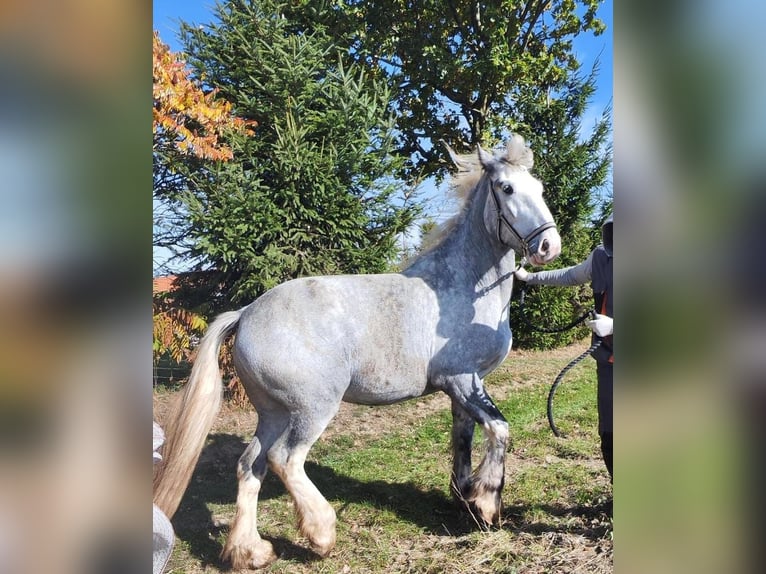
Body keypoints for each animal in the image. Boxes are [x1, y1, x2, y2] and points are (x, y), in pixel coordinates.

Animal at [153, 134, 562, 569]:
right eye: (507, 188)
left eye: (539, 188)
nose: (549, 246)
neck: (462, 287)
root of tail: (246, 313)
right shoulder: (463, 380)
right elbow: (499, 430)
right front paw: (485, 505)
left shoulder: (464, 387)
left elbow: (464, 437)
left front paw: (464, 493)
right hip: (313, 408)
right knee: (285, 460)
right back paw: (321, 533)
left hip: (274, 412)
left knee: (251, 465)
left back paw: (251, 551)